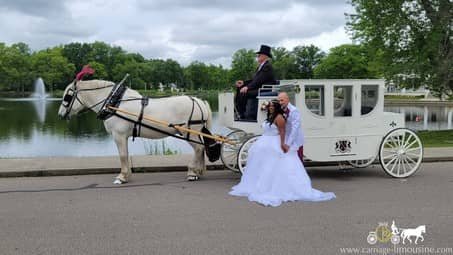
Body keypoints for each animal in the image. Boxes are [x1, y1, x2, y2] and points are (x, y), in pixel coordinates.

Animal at [57, 79, 212, 183]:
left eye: (67, 97)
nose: (60, 114)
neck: (115, 103)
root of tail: (199, 100)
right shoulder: (123, 136)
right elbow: (125, 155)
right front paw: (126, 175)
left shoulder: (118, 135)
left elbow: (122, 156)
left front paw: (122, 177)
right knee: (201, 148)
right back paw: (198, 171)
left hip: (190, 132)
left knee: (198, 148)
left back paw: (192, 172)